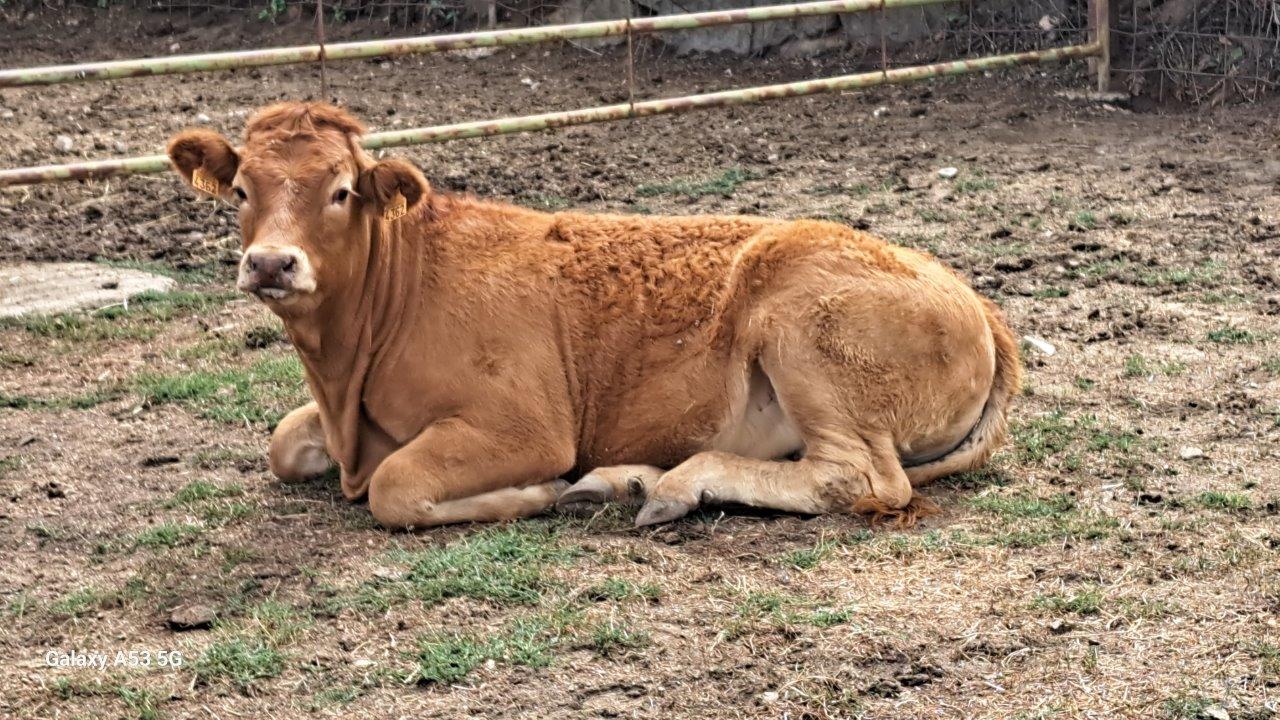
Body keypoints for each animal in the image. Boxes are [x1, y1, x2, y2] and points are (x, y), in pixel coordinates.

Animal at [167, 101, 1018, 527]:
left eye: (342, 190)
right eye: (240, 190)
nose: (272, 262)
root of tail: (979, 304)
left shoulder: (524, 426)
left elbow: (396, 488)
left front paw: (541, 494)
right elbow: (283, 444)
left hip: (804, 331)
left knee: (859, 477)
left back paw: (668, 485)